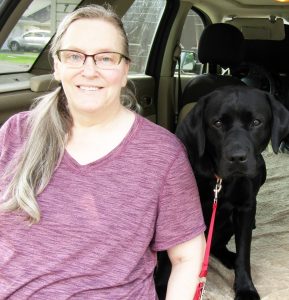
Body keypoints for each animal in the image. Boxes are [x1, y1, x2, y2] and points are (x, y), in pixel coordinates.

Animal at [155, 85, 289, 300]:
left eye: (256, 122)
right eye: (217, 123)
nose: (237, 157)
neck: (220, 179)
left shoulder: (245, 208)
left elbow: (244, 253)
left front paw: (245, 288)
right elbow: (169, 256)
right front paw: (161, 287)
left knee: (218, 247)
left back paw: (229, 258)